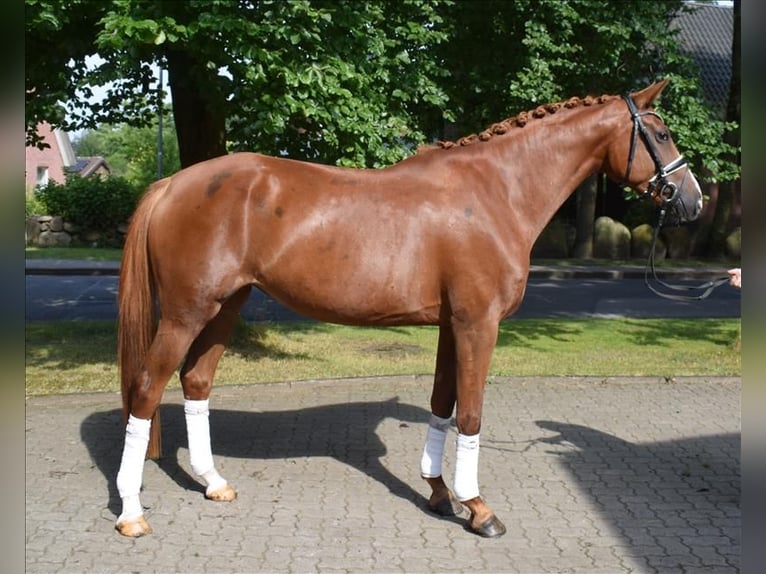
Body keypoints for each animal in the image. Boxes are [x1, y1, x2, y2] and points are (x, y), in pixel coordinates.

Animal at [112, 81, 704, 540]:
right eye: (660, 134)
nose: (692, 201)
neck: (495, 192)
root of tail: (173, 183)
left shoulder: (450, 325)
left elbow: (443, 404)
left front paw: (439, 493)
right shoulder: (477, 324)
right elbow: (471, 413)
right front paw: (479, 509)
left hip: (225, 307)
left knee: (196, 383)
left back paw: (213, 483)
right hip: (187, 313)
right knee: (146, 388)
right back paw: (132, 512)